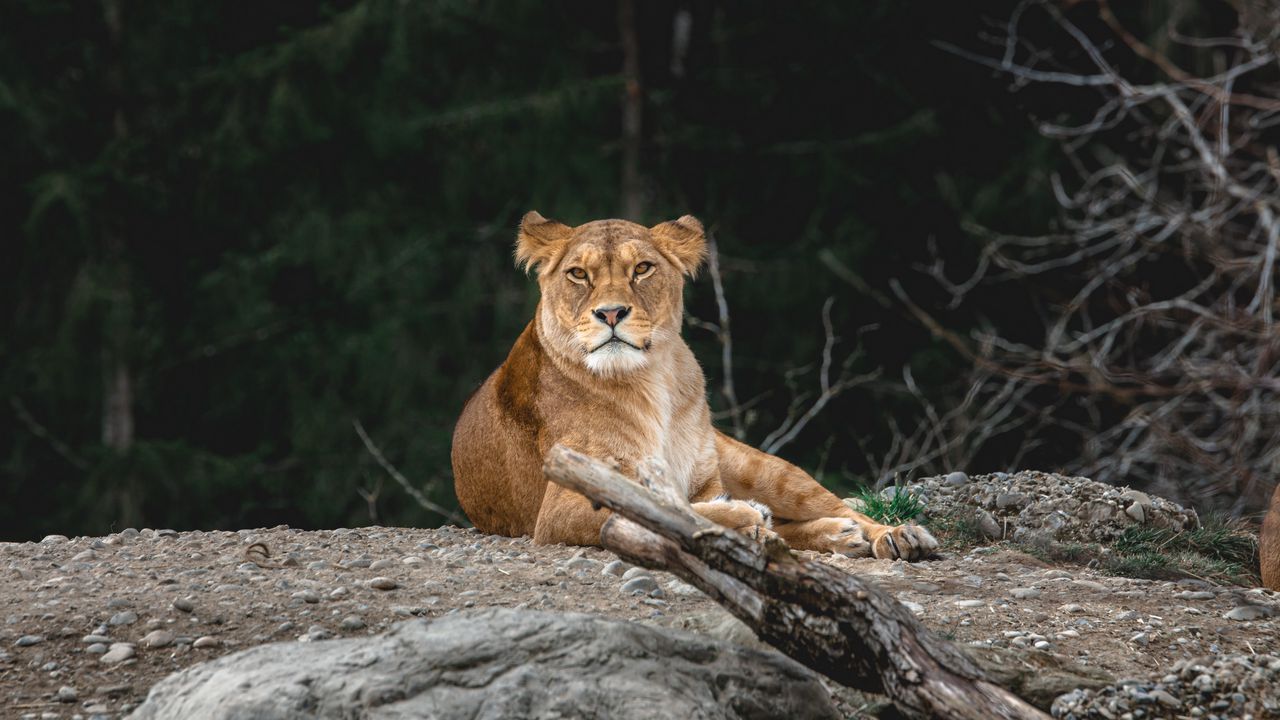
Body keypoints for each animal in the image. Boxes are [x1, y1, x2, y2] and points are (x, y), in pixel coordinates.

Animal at [451, 212, 938, 559]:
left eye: (642, 268)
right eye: (578, 275)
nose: (611, 313)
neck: (650, 382)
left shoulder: (705, 482)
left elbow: (680, 505)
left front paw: (746, 518)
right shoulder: (559, 509)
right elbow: (660, 506)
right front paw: (743, 518)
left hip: (766, 470)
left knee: (834, 506)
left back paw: (893, 535)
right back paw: (832, 533)